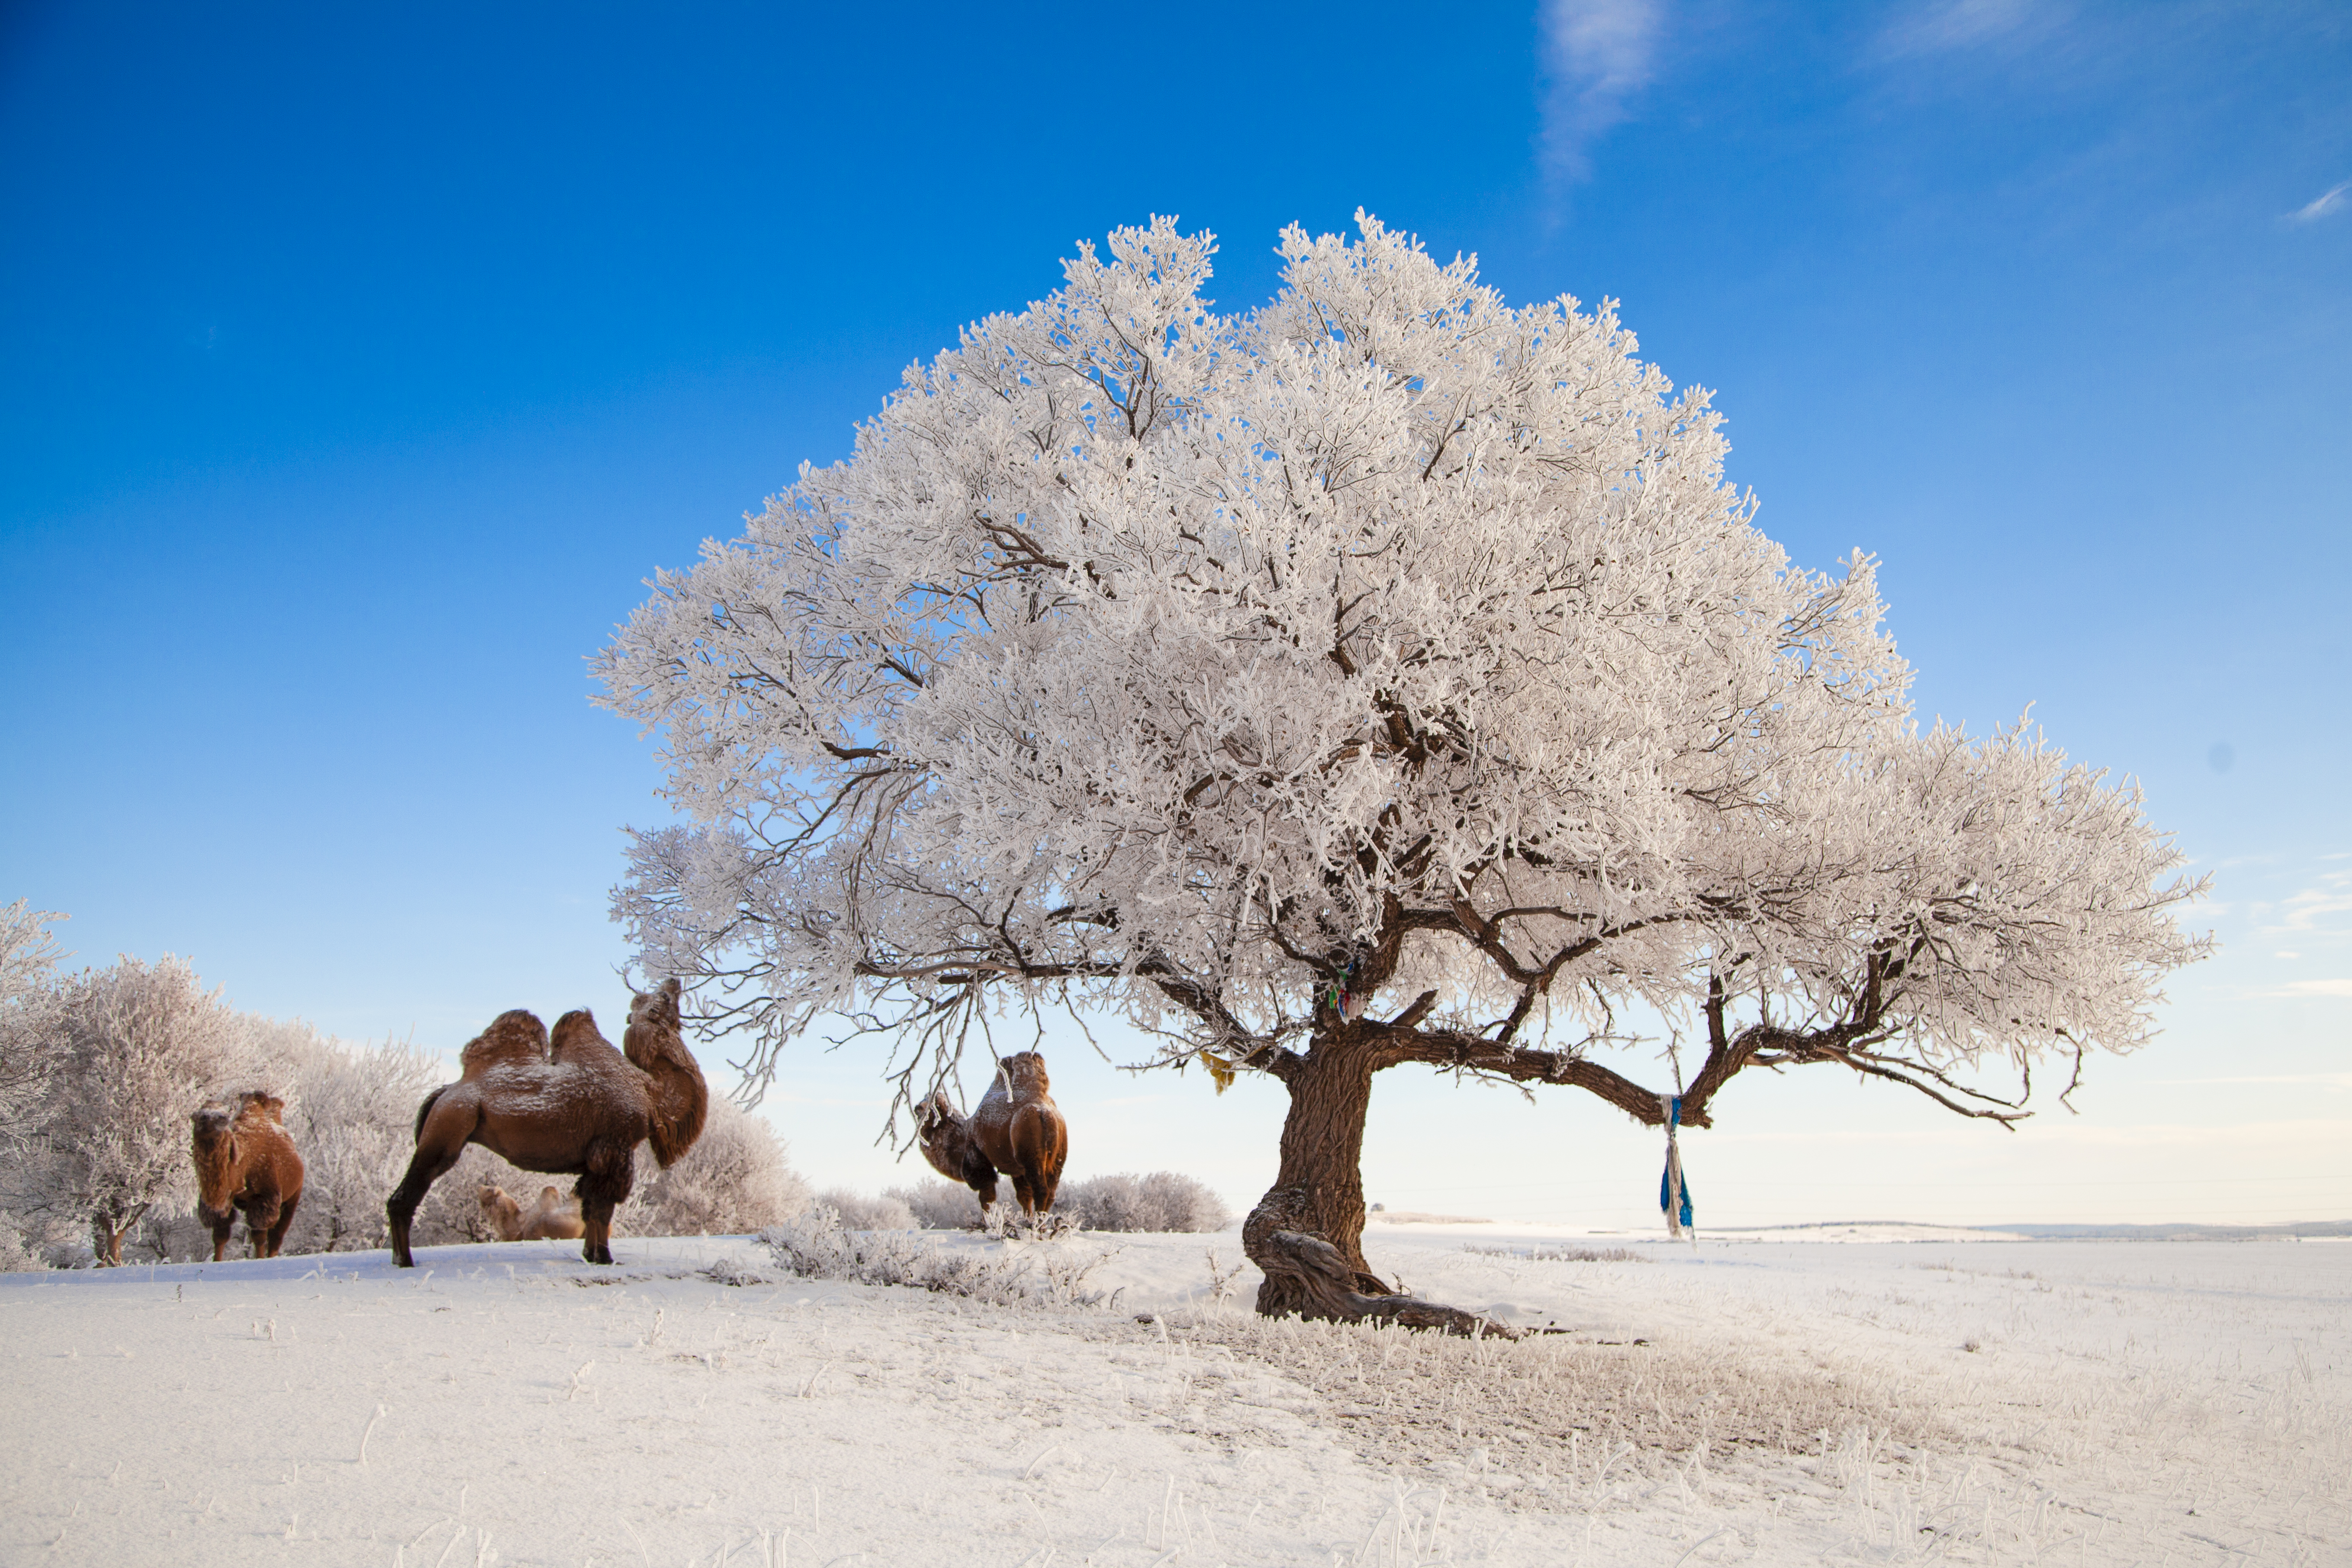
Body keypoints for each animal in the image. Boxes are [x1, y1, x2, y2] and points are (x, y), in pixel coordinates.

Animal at [189, 1091, 303, 1260]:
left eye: (223, 1111)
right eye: (203, 1116)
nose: (223, 1118)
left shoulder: (264, 1198)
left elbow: (259, 1236)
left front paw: (260, 1259)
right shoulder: (223, 1203)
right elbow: (220, 1236)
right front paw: (216, 1261)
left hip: (293, 1197)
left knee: (277, 1236)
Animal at [388, 973, 705, 1269]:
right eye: (663, 998)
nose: (674, 980)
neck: (652, 1093)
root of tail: (444, 1093)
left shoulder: (595, 1159)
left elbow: (589, 1208)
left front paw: (590, 1256)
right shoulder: (614, 1148)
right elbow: (602, 1209)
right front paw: (605, 1258)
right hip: (448, 1127)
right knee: (403, 1198)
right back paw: (405, 1261)